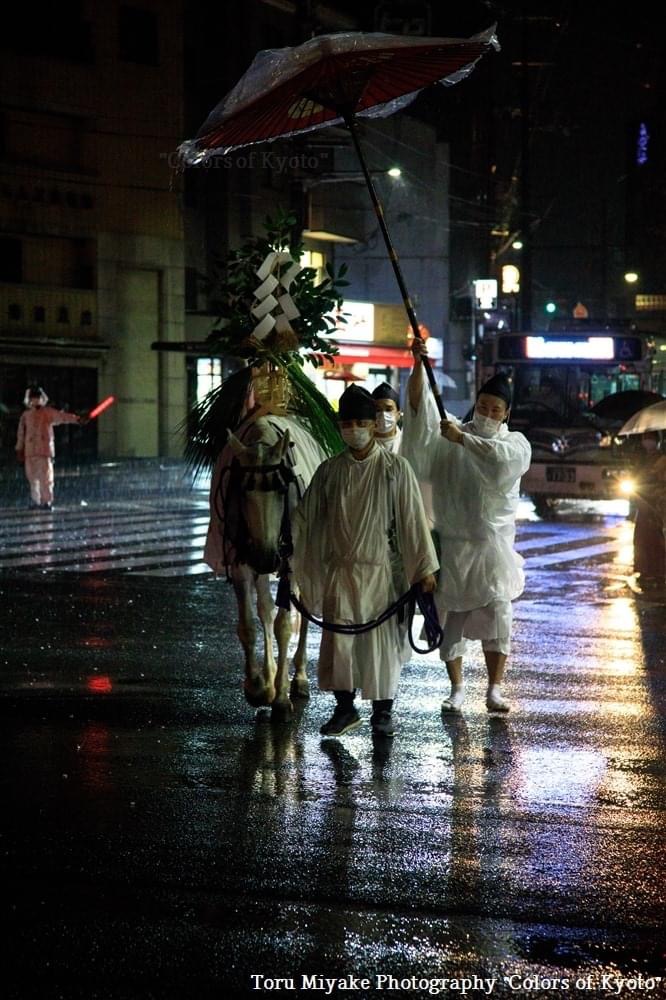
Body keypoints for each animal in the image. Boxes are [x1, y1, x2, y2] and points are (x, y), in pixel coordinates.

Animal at [202, 410, 326, 724]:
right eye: (243, 491)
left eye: (282, 490)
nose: (267, 557)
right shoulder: (242, 560)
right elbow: (249, 624)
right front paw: (259, 687)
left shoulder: (290, 560)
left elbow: (284, 625)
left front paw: (281, 698)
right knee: (266, 609)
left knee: (302, 611)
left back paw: (299, 677)